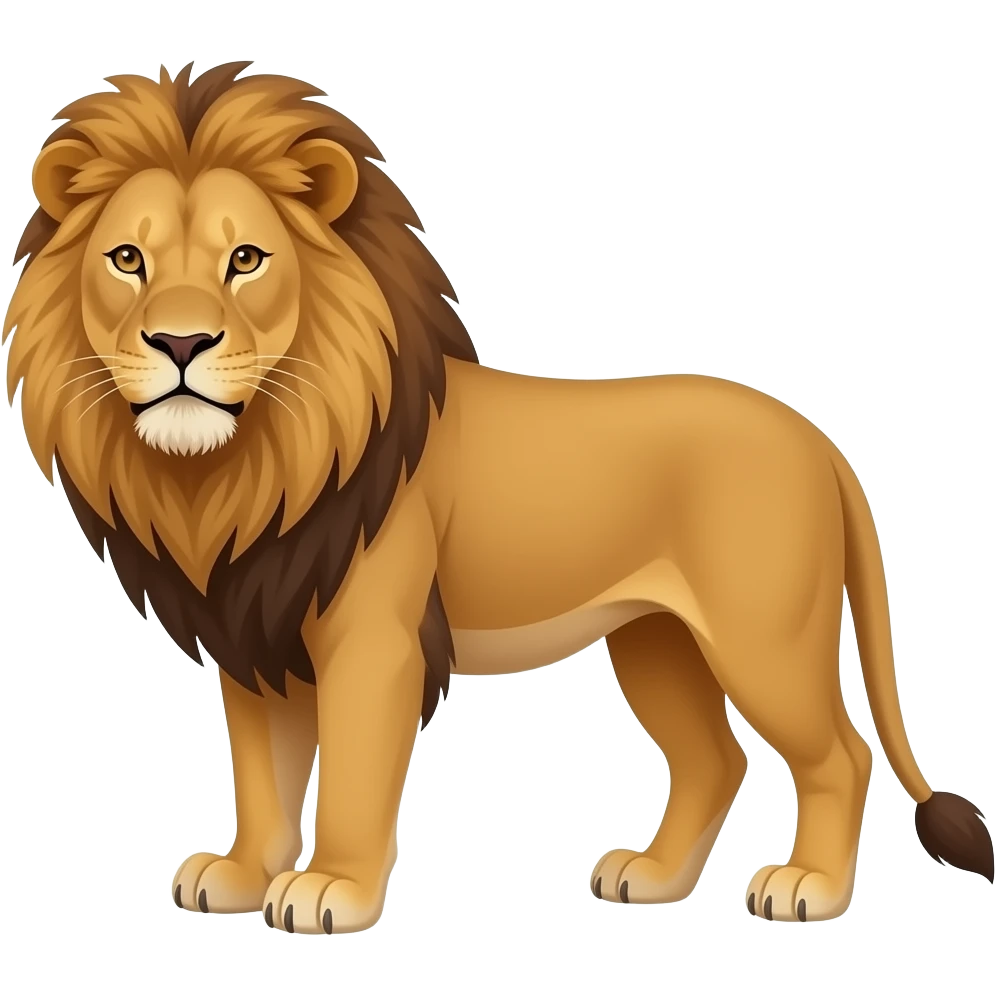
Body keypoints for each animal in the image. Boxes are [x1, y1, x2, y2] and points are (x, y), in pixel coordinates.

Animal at [3, 61, 992, 934]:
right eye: (126, 259)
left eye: (246, 259)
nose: (180, 342)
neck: (241, 468)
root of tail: (821, 443)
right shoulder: (255, 632)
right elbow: (264, 776)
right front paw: (244, 874)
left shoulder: (374, 641)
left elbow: (352, 774)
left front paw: (332, 891)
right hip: (658, 640)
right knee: (715, 761)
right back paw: (651, 878)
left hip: (763, 638)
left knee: (842, 756)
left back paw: (808, 889)